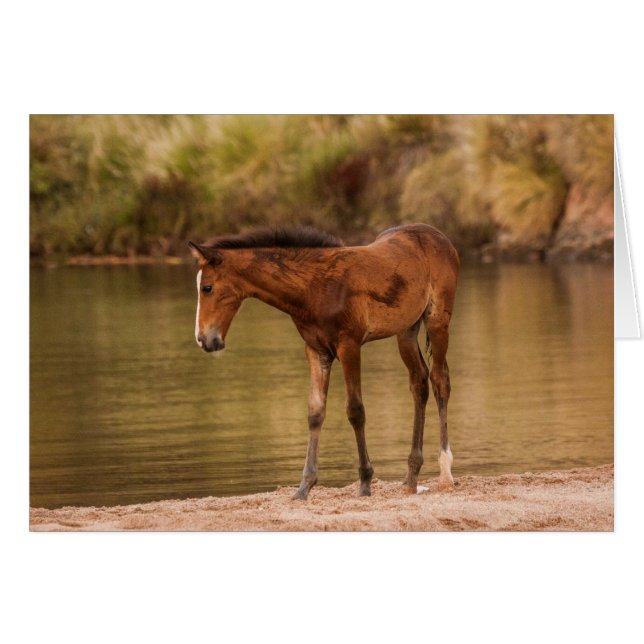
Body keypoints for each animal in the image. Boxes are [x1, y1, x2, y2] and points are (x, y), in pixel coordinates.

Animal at [188, 223, 459, 499]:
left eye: (207, 287)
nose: (204, 339)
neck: (315, 287)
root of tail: (438, 235)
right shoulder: (316, 350)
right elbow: (315, 412)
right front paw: (304, 486)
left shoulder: (349, 346)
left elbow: (356, 411)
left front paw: (365, 482)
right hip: (406, 330)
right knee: (419, 383)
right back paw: (411, 477)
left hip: (438, 320)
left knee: (440, 381)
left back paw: (445, 472)